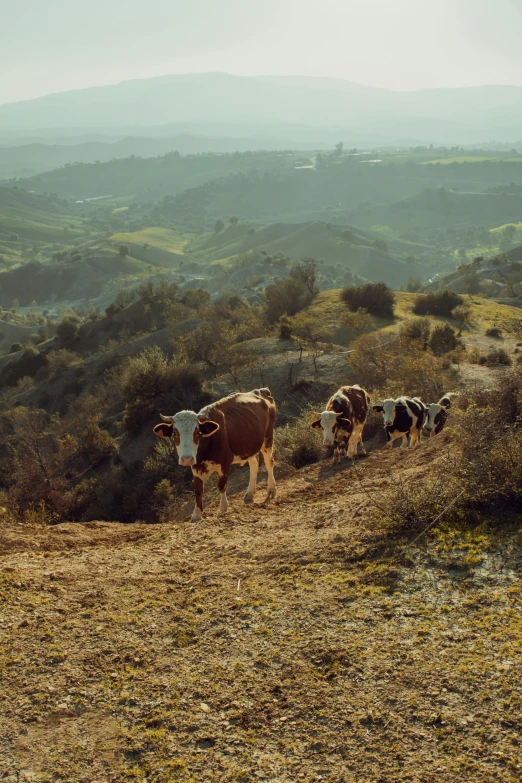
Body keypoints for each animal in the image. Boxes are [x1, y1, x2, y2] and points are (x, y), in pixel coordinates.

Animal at [152, 388, 276, 524]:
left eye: (197, 432)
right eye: (175, 433)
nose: (187, 459)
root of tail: (260, 391)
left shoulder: (225, 463)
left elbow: (221, 486)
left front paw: (223, 507)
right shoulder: (195, 467)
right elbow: (198, 491)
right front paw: (196, 515)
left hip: (268, 438)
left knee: (269, 462)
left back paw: (271, 490)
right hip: (250, 446)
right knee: (254, 464)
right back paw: (249, 494)